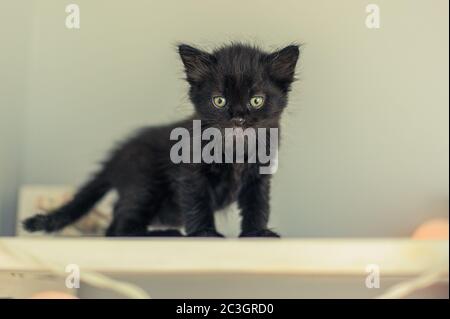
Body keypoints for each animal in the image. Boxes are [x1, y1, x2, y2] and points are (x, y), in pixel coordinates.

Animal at [23, 43, 298, 238]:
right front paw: (204, 233)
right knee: (119, 228)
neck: (235, 149)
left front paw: (257, 232)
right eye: (219, 100)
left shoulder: (259, 174)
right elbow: (197, 200)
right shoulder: (190, 170)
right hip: (145, 184)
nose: (239, 118)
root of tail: (117, 156)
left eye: (256, 100)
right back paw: (166, 233)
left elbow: (257, 204)